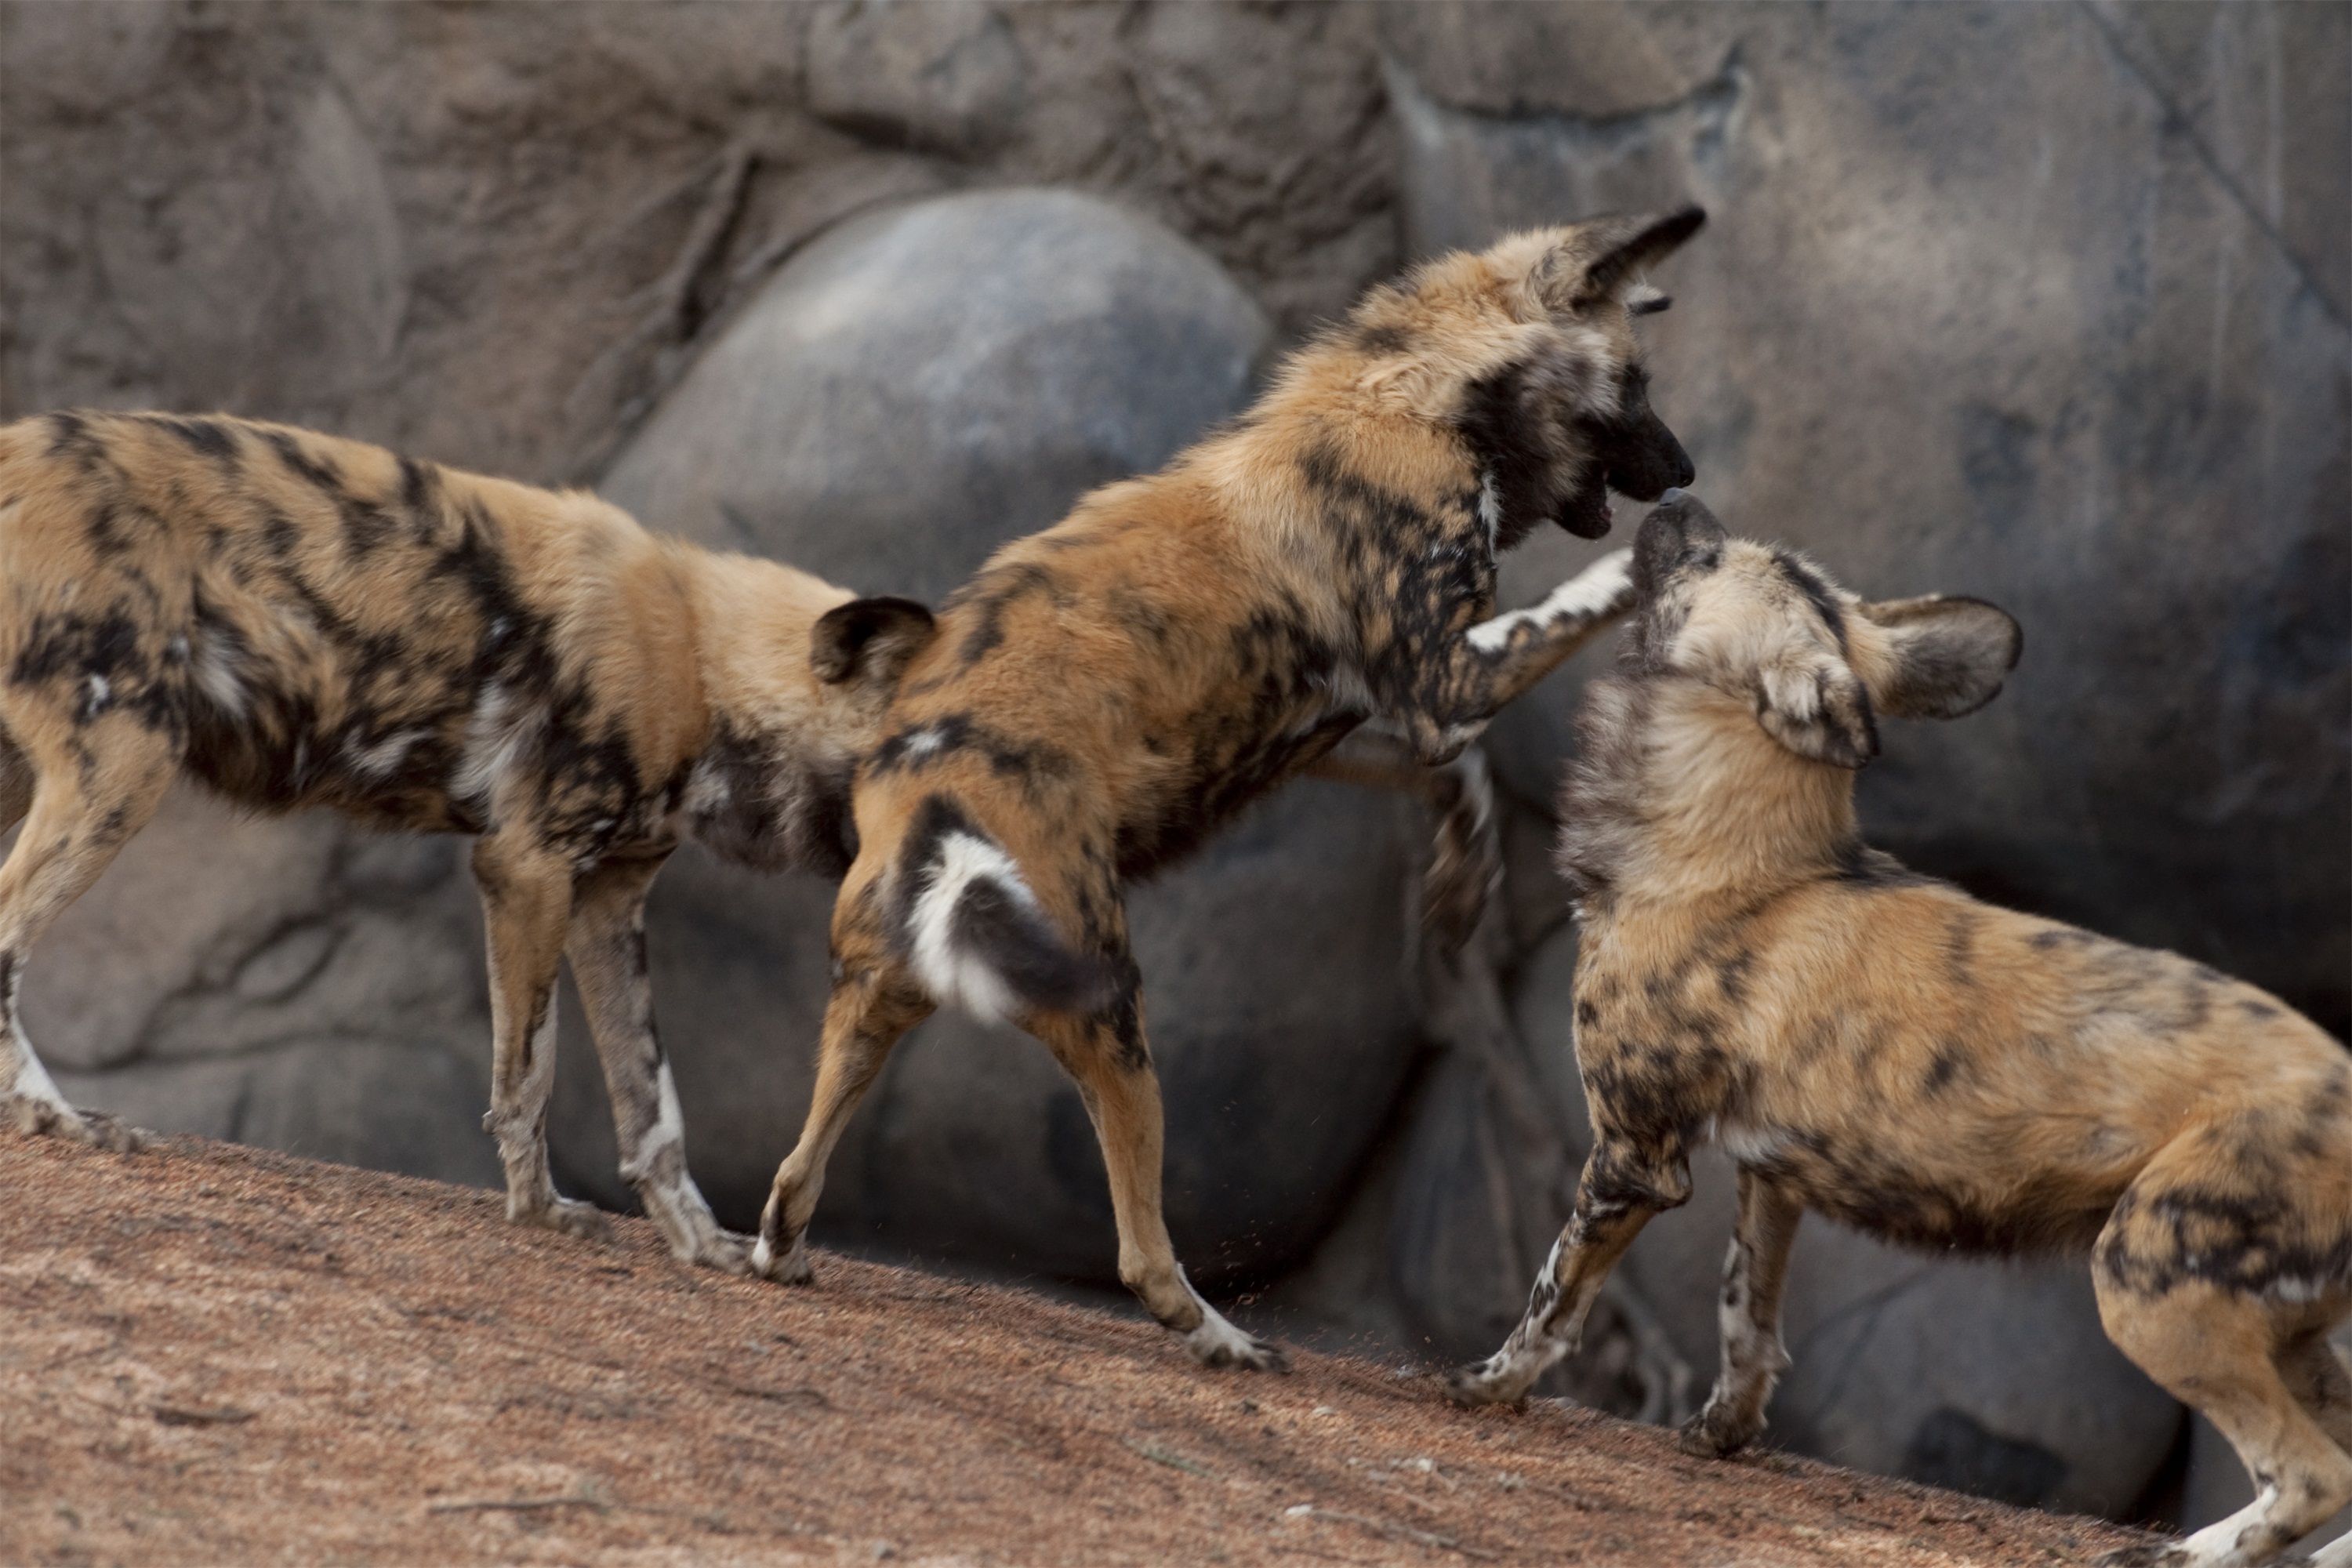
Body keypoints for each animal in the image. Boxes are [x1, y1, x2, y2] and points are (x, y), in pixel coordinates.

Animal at [0, 413, 936, 1279]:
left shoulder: (608, 900)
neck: (705, 663)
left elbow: (652, 1105)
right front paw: (538, 1210)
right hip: (127, 765)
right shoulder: (529, 865)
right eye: (918, 752)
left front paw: (696, 1240)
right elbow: (530, 1077)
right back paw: (54, 1114)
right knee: (10, 938)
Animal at [753, 208, 1712, 1373]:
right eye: (1636, 382)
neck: (1421, 394)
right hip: (1107, 1003)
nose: (1684, 466)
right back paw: (1221, 1337)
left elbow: (1459, 779)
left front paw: (1462, 882)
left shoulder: (1353, 721)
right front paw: (1665, 557)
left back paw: (783, 1250)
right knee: (1140, 1249)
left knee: (794, 1169)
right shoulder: (1445, 681)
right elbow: (1570, 610)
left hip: (883, 997)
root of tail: (925, 766)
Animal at [1449, 495, 2352, 1561]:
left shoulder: (1633, 1158)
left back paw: (2185, 1549)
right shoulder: (1770, 1176)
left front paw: (1485, 1385)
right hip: (2285, 1328)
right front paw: (1722, 1434)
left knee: (2312, 1473)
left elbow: (1554, 1294)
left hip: (2150, 1284)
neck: (1729, 859)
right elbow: (1746, 1317)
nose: (1678, 498)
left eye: (1705, 558)